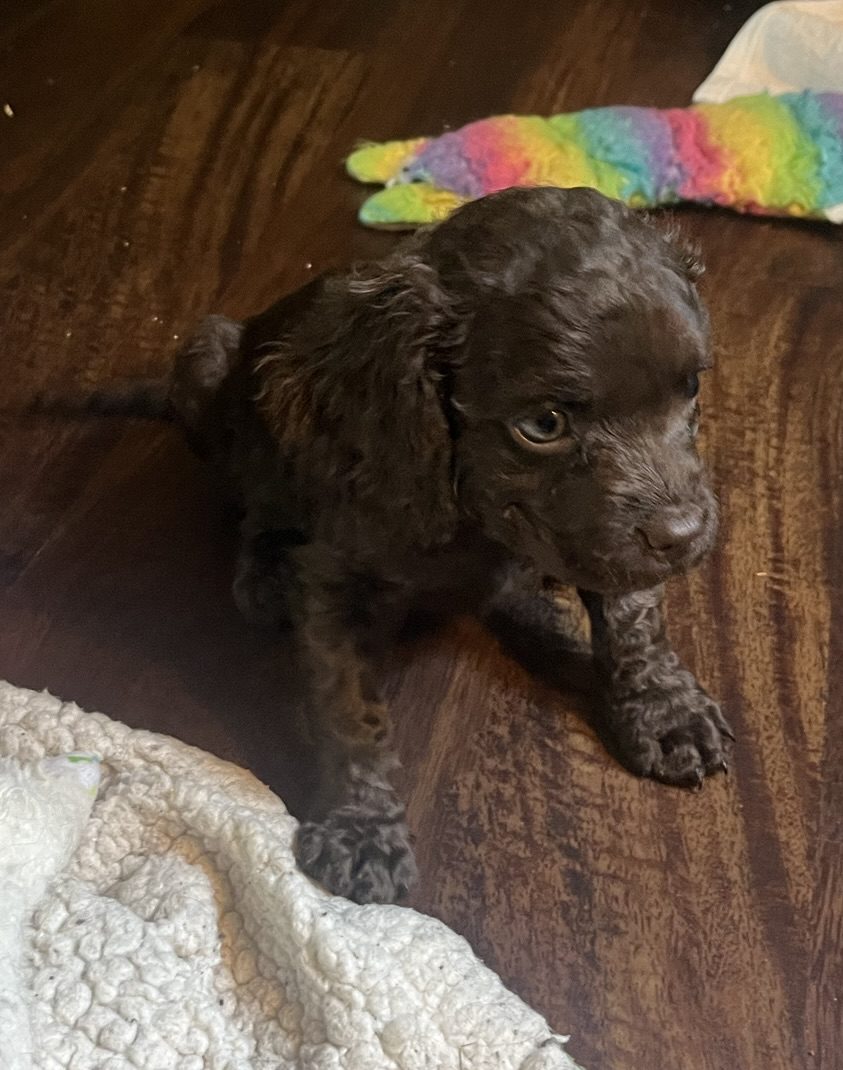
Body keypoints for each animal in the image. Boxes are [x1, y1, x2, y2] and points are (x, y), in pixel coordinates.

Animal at [38, 186, 732, 904]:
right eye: (543, 425)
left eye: (690, 389)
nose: (684, 535)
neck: (469, 515)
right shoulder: (335, 579)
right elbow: (349, 705)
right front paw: (362, 830)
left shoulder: (616, 544)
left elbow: (632, 618)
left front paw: (663, 711)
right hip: (205, 361)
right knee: (247, 499)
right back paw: (265, 571)